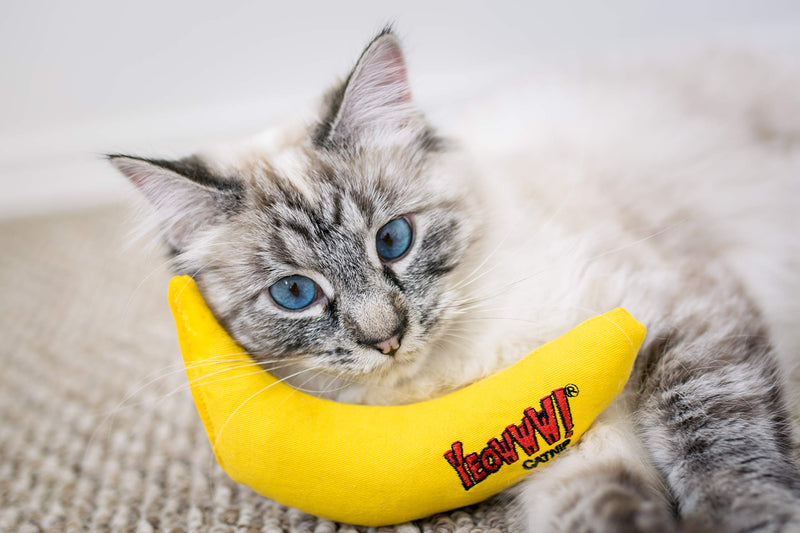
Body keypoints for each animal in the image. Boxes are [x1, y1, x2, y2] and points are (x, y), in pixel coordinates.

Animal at [112, 30, 800, 532]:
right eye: (295, 294)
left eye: (393, 241)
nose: (386, 338)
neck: (464, 369)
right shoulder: (567, 436)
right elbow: (607, 509)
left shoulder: (675, 316)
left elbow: (717, 446)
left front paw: (745, 520)